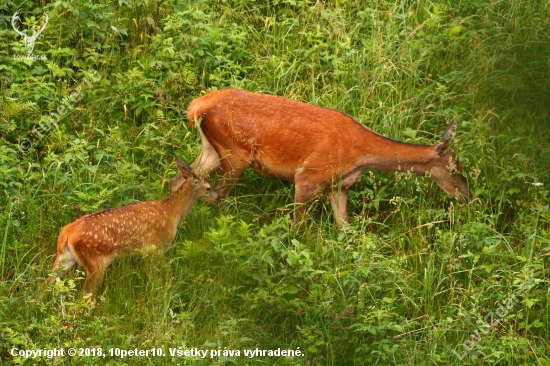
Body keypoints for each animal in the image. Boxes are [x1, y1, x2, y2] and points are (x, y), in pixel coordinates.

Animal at [42, 156, 221, 294]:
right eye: (208, 188)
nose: (220, 198)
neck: (172, 212)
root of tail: (67, 233)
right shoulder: (154, 247)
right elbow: (161, 274)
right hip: (96, 261)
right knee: (85, 294)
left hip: (65, 257)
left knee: (43, 285)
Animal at [188, 88, 472, 226]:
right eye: (455, 170)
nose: (468, 196)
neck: (360, 154)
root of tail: (198, 105)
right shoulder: (308, 176)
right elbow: (298, 226)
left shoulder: (340, 186)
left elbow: (344, 228)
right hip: (235, 152)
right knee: (220, 194)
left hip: (211, 149)